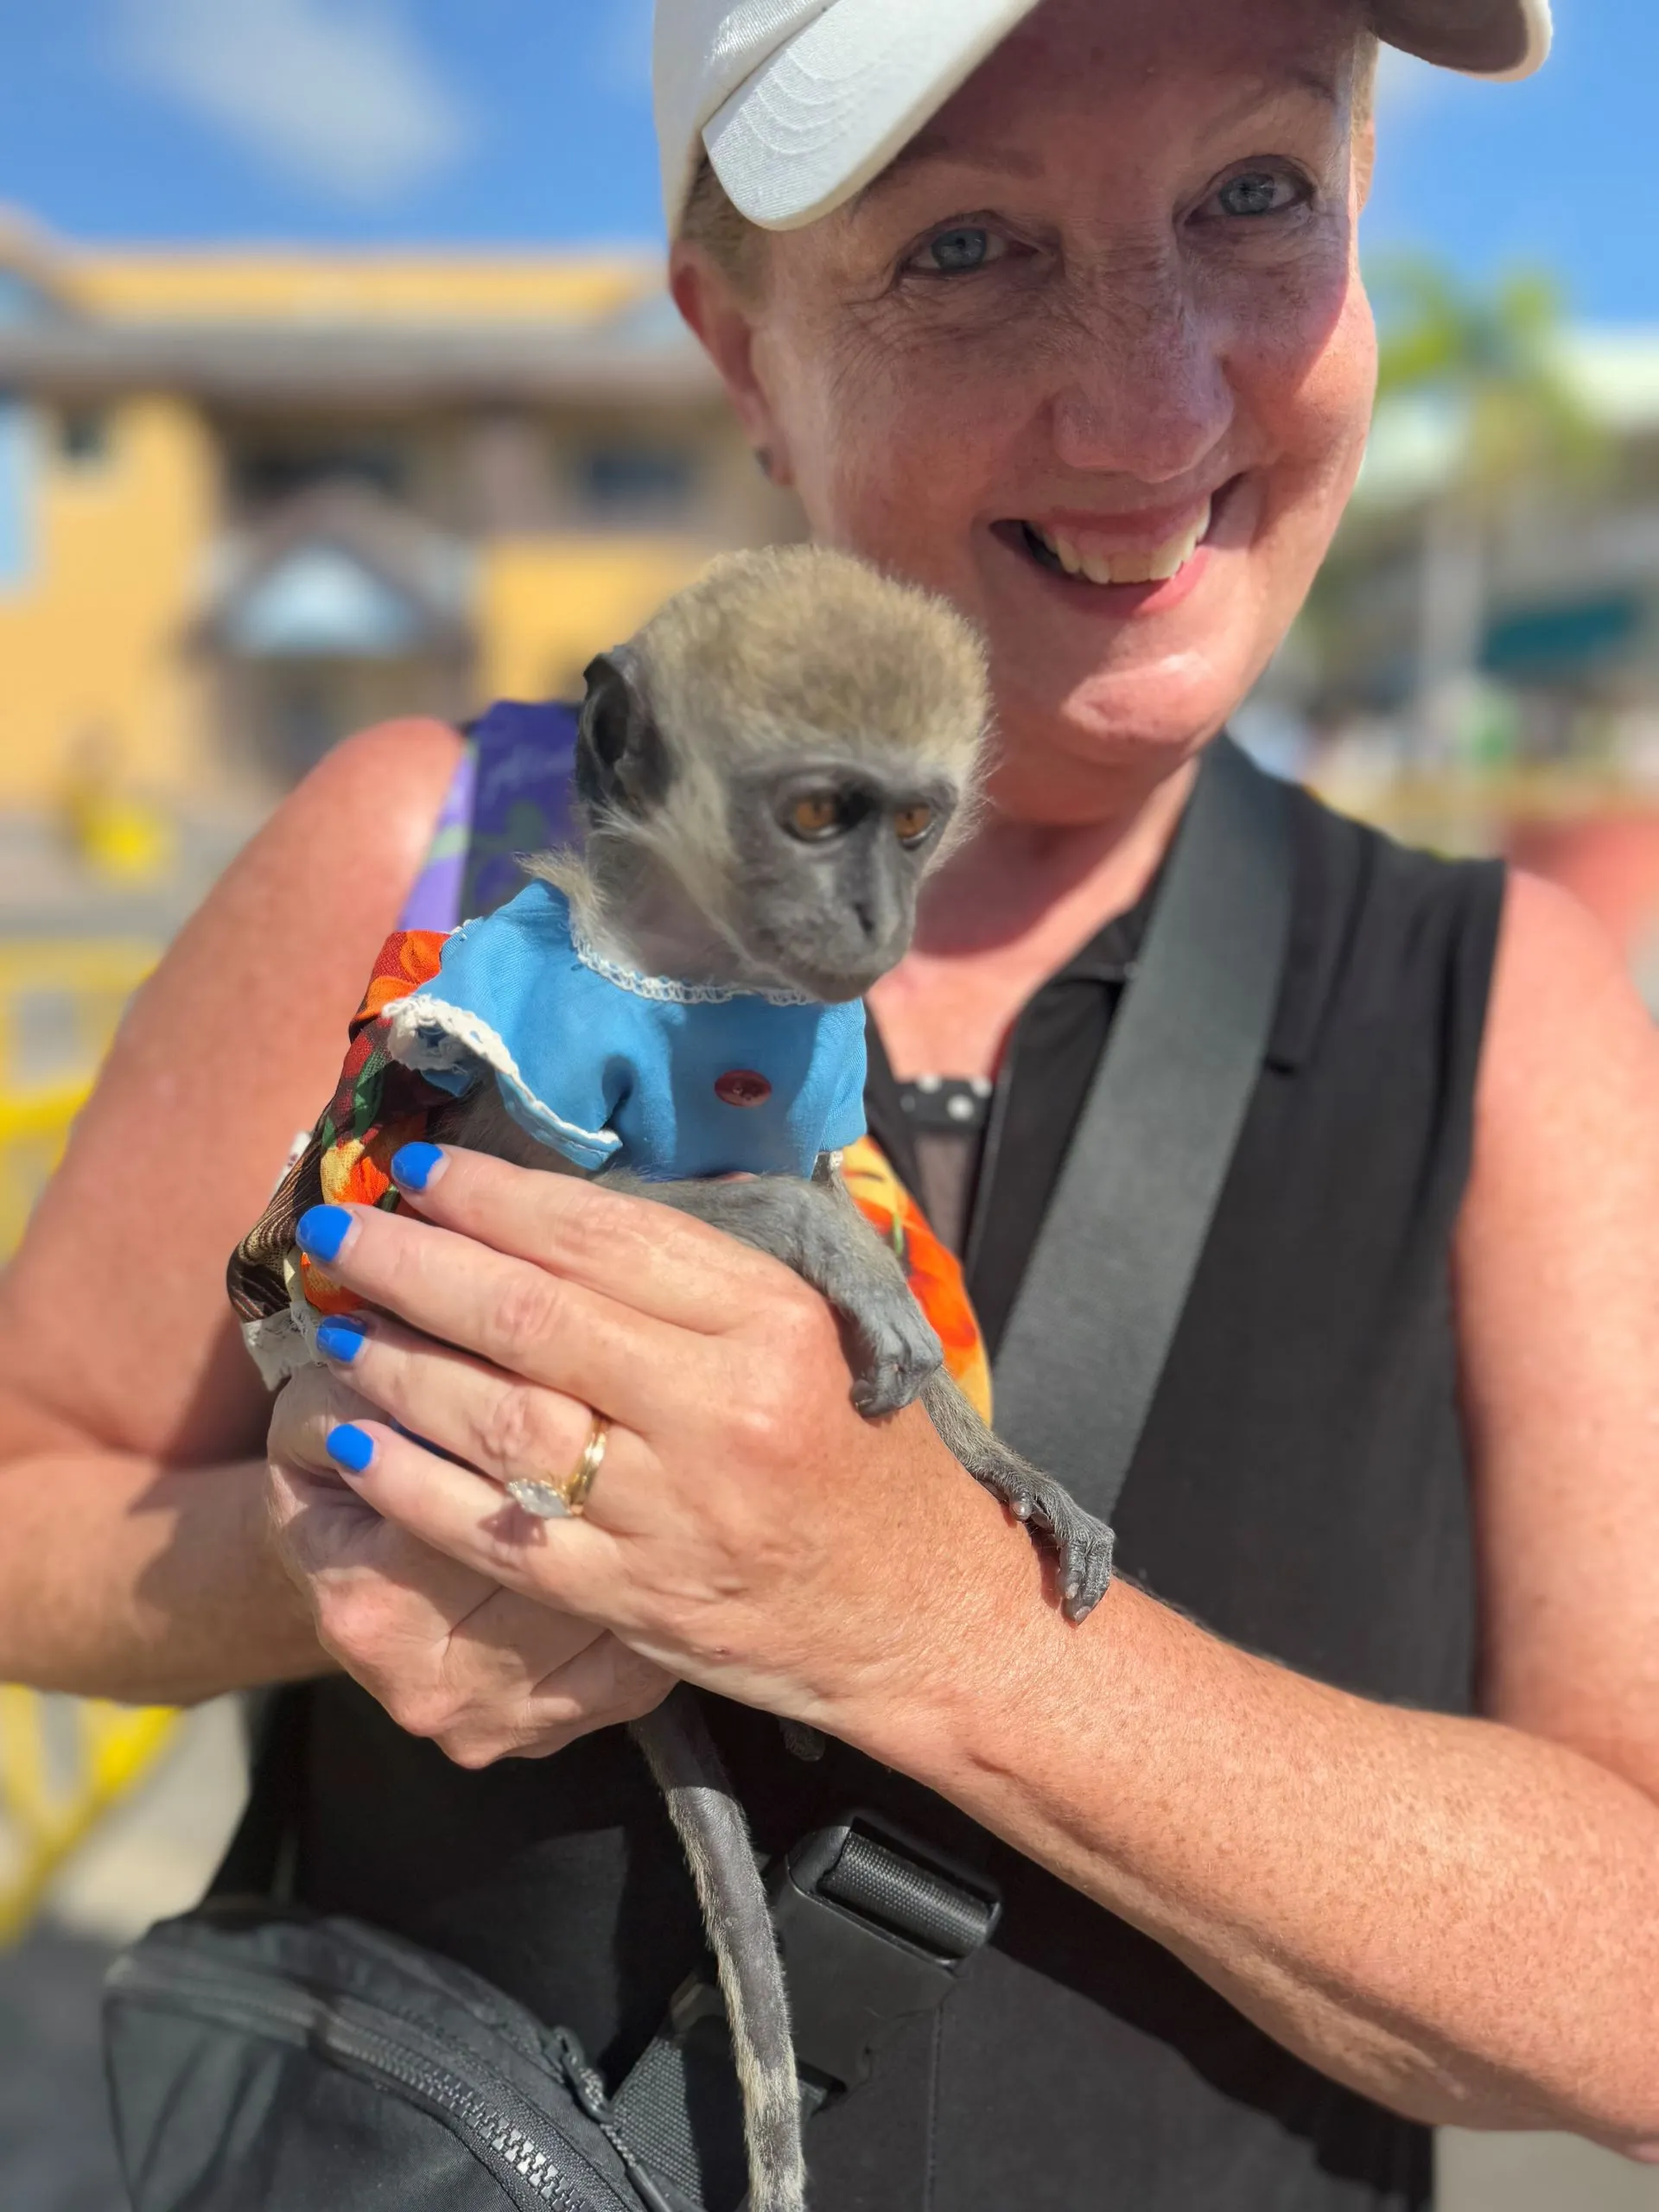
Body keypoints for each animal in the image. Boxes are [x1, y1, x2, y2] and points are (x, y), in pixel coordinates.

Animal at [232, 546, 1114, 2212]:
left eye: (915, 824)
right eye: (822, 813)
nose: (879, 917)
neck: (699, 981)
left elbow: (824, 1184)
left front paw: (995, 1457)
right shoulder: (534, 1063)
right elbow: (513, 1194)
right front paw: (824, 1253)